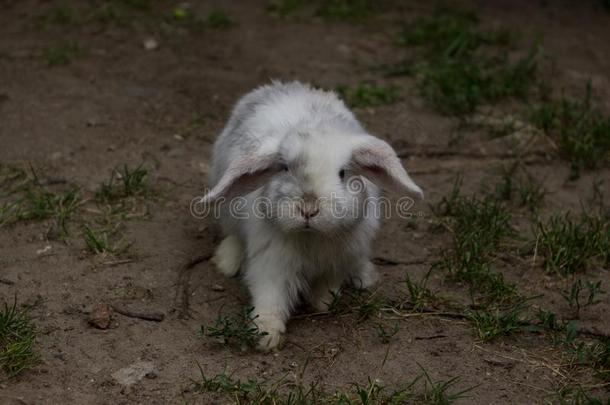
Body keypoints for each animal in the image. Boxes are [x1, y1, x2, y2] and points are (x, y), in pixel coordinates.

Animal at [202, 80, 420, 348]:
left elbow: (327, 285)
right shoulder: (271, 264)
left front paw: (323, 303)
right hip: (227, 209)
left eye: (342, 173)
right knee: (232, 234)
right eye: (285, 168)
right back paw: (226, 262)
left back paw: (364, 275)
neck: (312, 236)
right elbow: (270, 297)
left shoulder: (338, 261)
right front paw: (266, 335)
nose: (308, 209)